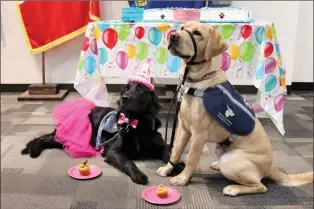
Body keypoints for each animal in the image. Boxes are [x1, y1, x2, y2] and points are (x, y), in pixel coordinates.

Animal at [21, 81, 167, 185]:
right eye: (126, 88)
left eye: (140, 90)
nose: (124, 98)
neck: (137, 125)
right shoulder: (113, 151)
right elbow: (128, 161)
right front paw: (138, 174)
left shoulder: (161, 145)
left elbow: (168, 154)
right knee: (43, 139)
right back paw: (33, 151)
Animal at [156, 22, 312, 197]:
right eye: (182, 28)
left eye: (197, 33)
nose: (173, 36)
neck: (196, 80)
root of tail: (271, 168)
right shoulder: (183, 128)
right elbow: (176, 151)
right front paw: (167, 169)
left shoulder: (198, 135)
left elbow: (191, 159)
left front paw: (182, 178)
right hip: (220, 148)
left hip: (231, 161)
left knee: (260, 186)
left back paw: (233, 188)